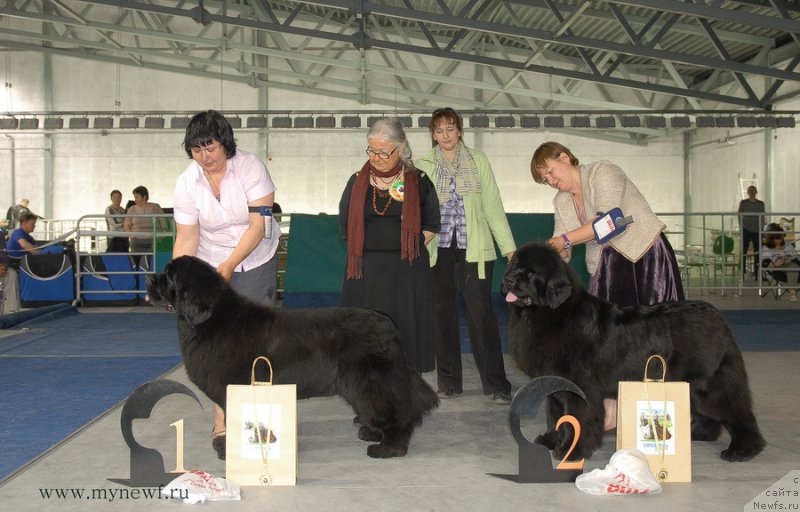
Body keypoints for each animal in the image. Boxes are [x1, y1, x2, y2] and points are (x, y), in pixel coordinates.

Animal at [147, 256, 440, 460]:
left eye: (168, 276)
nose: (149, 278)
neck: (212, 320)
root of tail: (386, 322)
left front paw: (230, 450)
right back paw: (372, 433)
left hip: (371, 381)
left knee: (396, 410)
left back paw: (389, 447)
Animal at [504, 242, 764, 462]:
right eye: (514, 266)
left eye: (531, 274)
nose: (508, 280)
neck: (550, 313)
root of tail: (716, 314)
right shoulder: (554, 382)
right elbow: (555, 415)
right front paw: (550, 441)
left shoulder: (579, 386)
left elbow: (575, 419)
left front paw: (571, 451)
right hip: (692, 383)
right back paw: (698, 433)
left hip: (711, 384)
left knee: (737, 411)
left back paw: (743, 450)